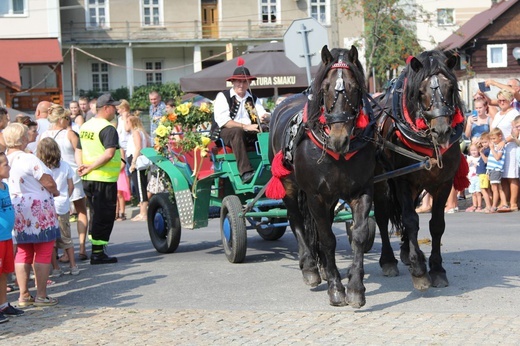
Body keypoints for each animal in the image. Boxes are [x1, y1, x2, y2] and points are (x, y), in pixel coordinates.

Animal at [268, 44, 374, 306]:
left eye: (355, 88)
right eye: (326, 88)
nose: (339, 138)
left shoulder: (362, 190)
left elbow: (359, 235)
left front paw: (355, 288)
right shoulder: (315, 195)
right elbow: (327, 238)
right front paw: (336, 288)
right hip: (289, 185)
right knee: (296, 219)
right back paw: (310, 267)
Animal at [372, 50, 470, 290]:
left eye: (450, 87)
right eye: (421, 91)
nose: (442, 130)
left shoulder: (443, 183)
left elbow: (436, 225)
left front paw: (436, 269)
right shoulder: (403, 181)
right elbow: (410, 220)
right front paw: (419, 270)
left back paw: (406, 252)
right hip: (382, 183)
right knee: (382, 216)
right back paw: (389, 260)